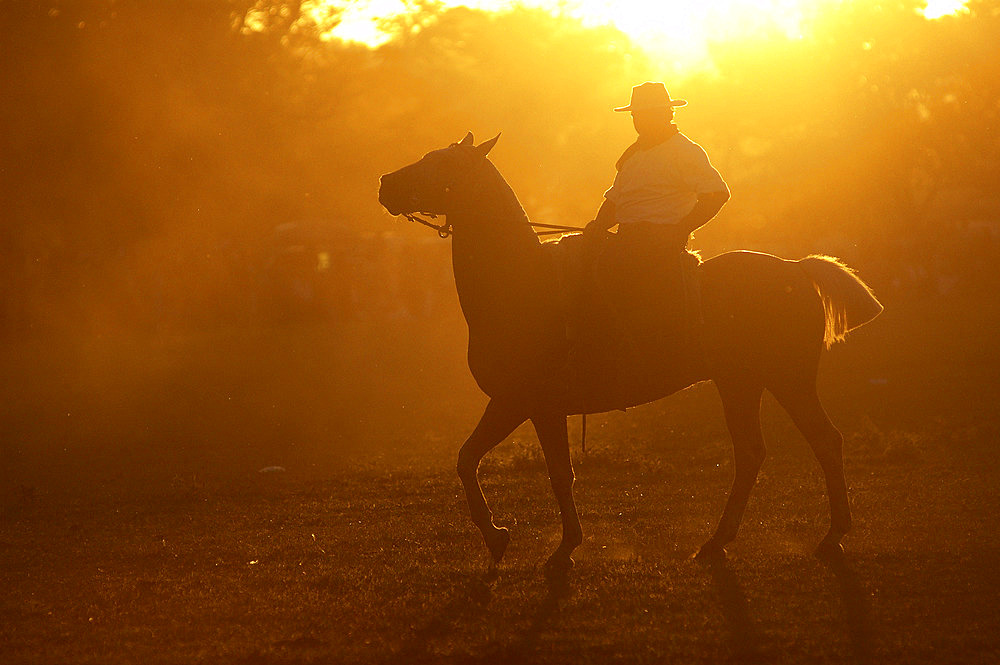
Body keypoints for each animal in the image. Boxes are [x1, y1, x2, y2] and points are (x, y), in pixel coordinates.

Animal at [376, 132, 884, 572]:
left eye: (444, 164)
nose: (385, 184)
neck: (522, 284)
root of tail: (797, 269)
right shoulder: (535, 407)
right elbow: (512, 465)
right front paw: (542, 542)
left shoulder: (522, 403)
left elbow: (508, 466)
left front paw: (517, 540)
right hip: (742, 383)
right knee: (757, 453)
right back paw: (719, 542)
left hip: (787, 379)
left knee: (821, 442)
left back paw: (830, 536)